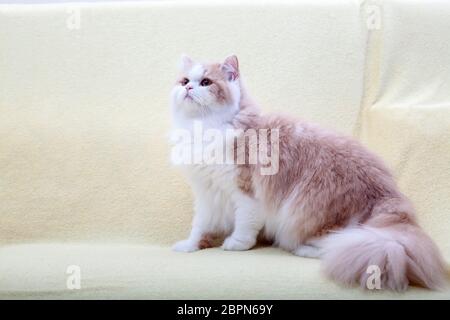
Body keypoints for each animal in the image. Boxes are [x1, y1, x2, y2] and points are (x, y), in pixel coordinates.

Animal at [170, 53, 446, 290]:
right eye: (184, 81)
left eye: (206, 82)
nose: (188, 88)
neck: (205, 128)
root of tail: (389, 195)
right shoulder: (207, 193)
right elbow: (200, 226)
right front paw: (189, 246)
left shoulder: (246, 191)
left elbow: (244, 224)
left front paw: (236, 244)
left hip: (309, 214)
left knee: (339, 244)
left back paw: (303, 249)